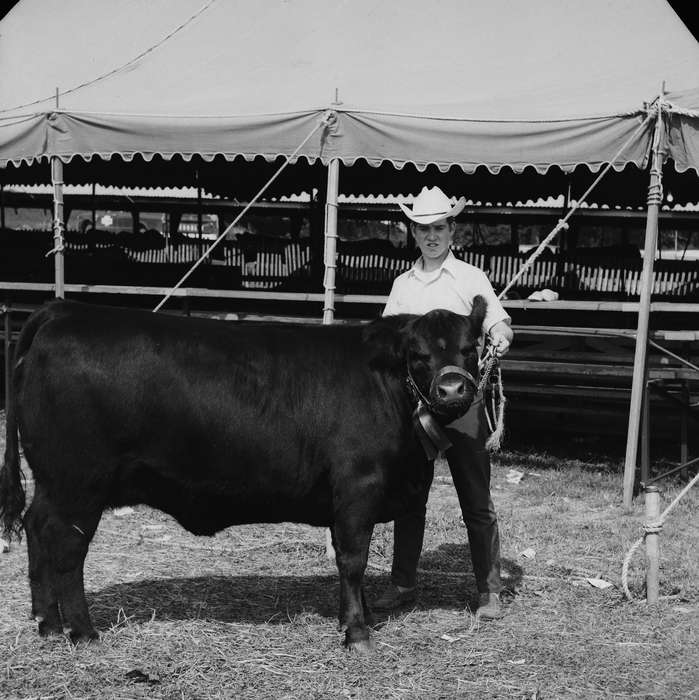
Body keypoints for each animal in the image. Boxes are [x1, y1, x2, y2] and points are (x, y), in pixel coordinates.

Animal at [0, 297, 486, 650]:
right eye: (418, 355)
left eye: (470, 348)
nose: (452, 389)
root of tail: (65, 309)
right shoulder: (358, 486)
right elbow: (353, 560)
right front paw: (357, 634)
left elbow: (351, 560)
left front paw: (357, 617)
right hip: (79, 485)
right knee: (67, 550)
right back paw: (83, 632)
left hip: (54, 484)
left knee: (36, 529)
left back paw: (47, 623)